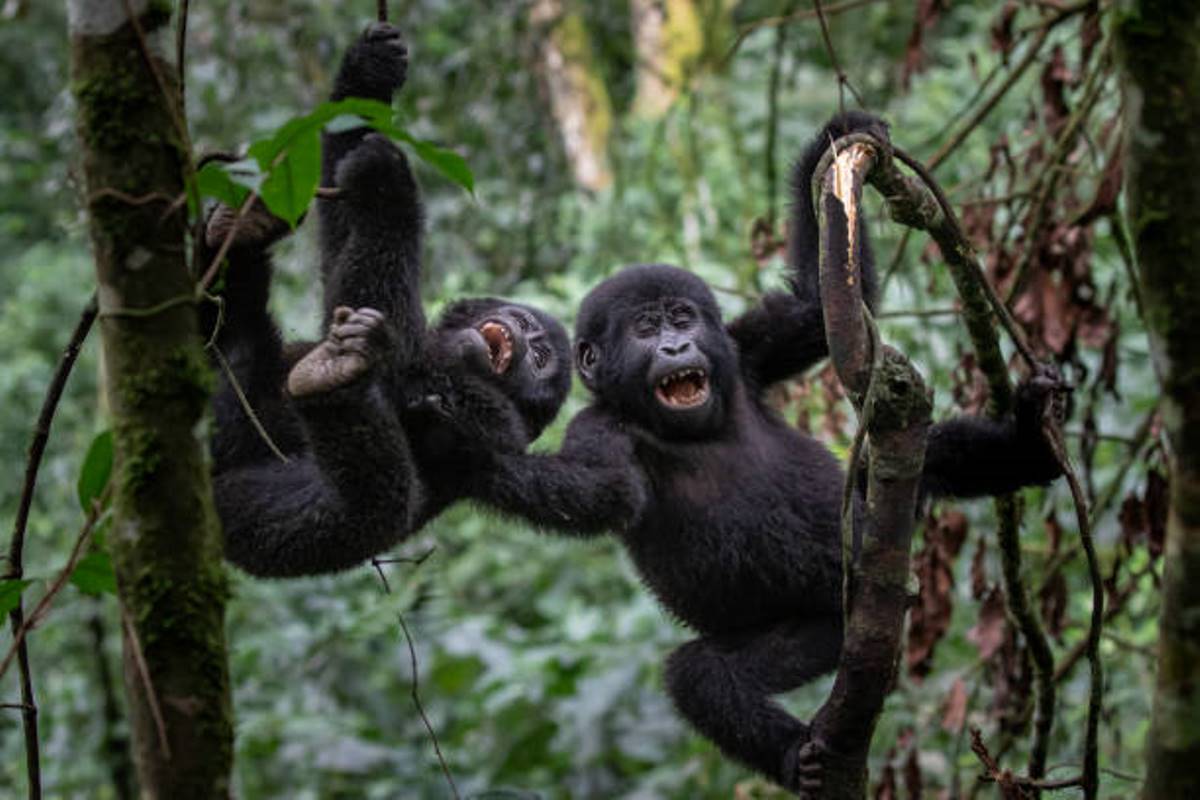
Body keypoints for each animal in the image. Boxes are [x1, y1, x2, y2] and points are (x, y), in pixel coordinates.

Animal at [206, 23, 571, 575]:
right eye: (523, 321)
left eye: (544, 356)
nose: (525, 336)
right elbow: (341, 244)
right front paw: (367, 71)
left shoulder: (492, 417)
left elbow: (396, 349)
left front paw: (389, 184)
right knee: (234, 346)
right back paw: (241, 233)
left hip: (264, 534)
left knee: (363, 508)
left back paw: (334, 384)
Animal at [468, 112, 1070, 796]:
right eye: (645, 330)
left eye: (682, 318)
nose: (676, 347)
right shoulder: (601, 427)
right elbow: (596, 492)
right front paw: (470, 446)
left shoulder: (744, 349)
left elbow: (813, 310)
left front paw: (832, 143)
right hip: (822, 629)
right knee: (702, 677)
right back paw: (793, 756)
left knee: (920, 459)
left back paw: (1031, 444)